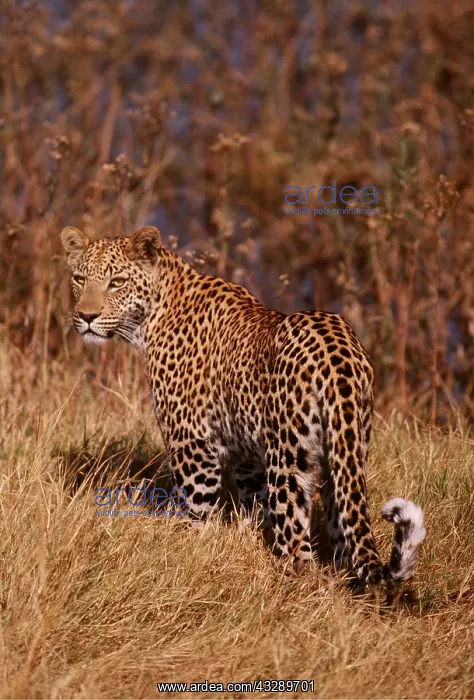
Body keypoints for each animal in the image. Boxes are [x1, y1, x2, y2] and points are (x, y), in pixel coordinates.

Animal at [61, 224, 426, 588]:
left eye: (117, 281)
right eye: (79, 278)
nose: (86, 317)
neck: (151, 318)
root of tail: (338, 348)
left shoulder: (192, 445)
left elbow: (195, 515)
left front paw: (185, 557)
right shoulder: (247, 457)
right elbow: (255, 510)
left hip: (289, 461)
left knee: (298, 545)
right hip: (346, 450)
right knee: (343, 533)